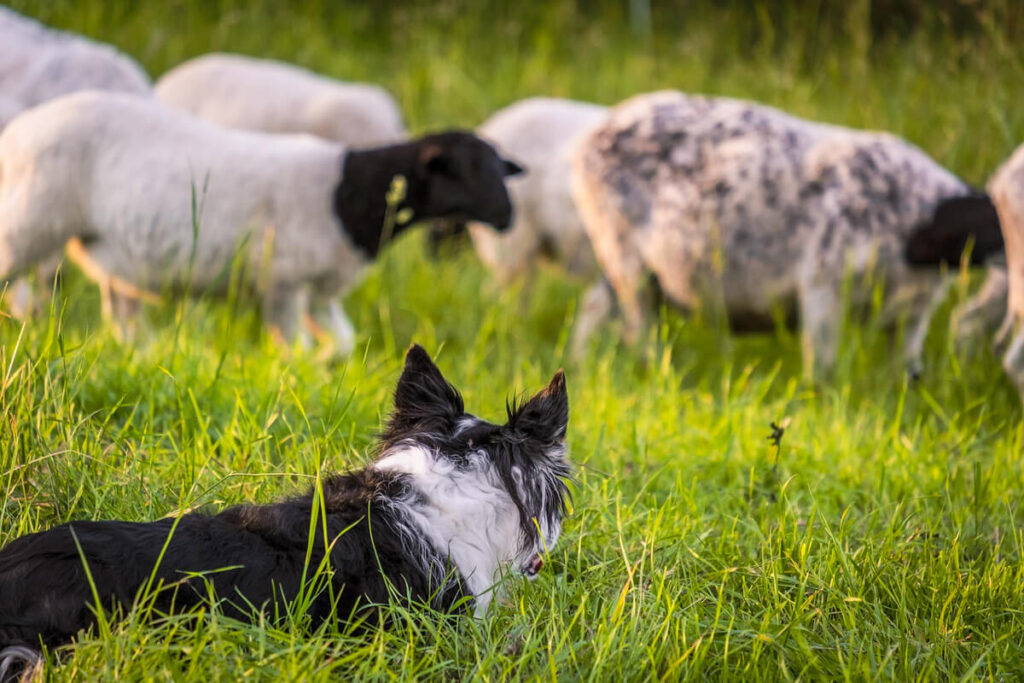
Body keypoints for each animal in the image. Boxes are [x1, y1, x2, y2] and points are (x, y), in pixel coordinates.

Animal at [0, 92, 523, 353]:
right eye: (463, 170)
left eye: (500, 169)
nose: (507, 218)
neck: (349, 197)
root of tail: (20, 129)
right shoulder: (283, 283)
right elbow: (294, 348)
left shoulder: (321, 288)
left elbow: (343, 343)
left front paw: (326, 370)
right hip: (27, 222)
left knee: (123, 321)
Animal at [570, 90, 1003, 375]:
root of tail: (595, 132)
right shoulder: (823, 284)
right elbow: (823, 367)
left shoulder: (914, 313)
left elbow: (909, 370)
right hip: (624, 254)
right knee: (638, 330)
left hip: (619, 262)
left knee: (594, 307)